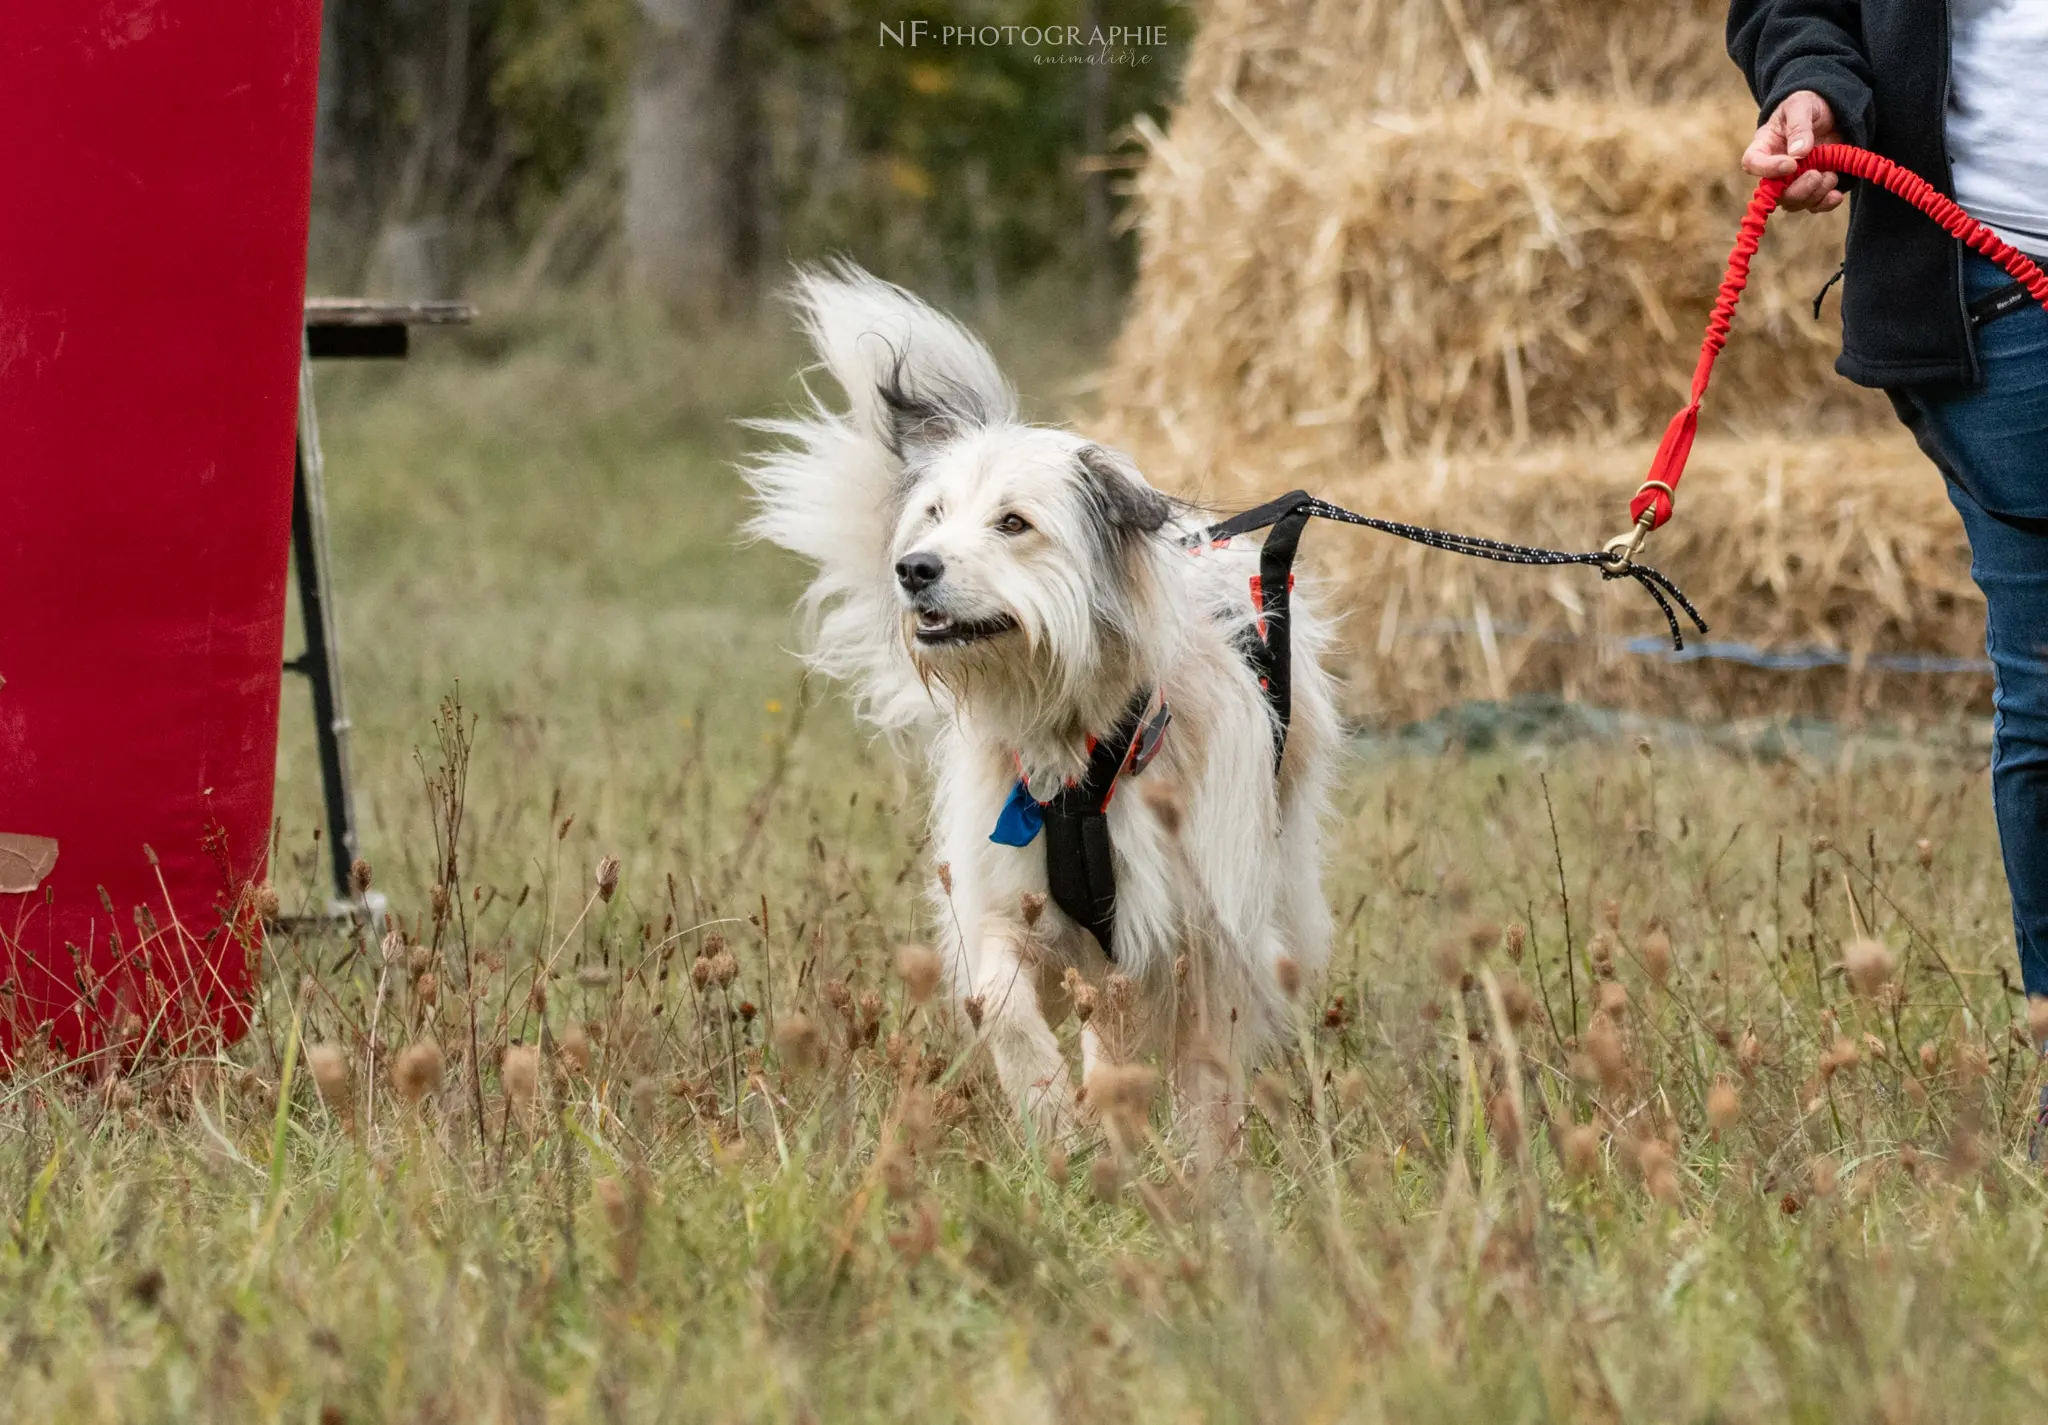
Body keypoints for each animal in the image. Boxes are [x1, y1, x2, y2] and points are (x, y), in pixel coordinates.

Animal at [745, 264, 1335, 1146]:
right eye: (933, 515)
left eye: (1013, 523)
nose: (913, 568)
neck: (1079, 742)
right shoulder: (1008, 907)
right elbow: (1001, 1005)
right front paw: (1054, 1121)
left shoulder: (1202, 929)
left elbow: (1203, 1067)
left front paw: (1197, 1163)